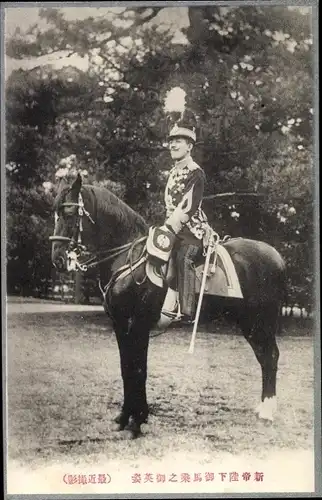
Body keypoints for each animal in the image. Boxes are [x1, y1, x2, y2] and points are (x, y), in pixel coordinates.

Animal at [50, 175, 286, 438]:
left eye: (70, 213)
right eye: (55, 214)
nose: (57, 258)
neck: (127, 257)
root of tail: (276, 257)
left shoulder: (138, 325)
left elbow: (138, 370)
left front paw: (137, 421)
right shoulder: (120, 326)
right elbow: (126, 368)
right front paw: (124, 418)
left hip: (261, 322)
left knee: (271, 357)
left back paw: (268, 412)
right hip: (250, 324)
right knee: (264, 357)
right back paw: (263, 408)